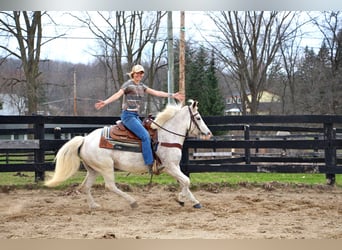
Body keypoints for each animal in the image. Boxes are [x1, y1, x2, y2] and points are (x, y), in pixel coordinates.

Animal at [44, 100, 211, 208]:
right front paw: (182, 199)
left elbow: (184, 182)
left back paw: (94, 205)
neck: (166, 136)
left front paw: (193, 201)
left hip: (93, 170)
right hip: (106, 167)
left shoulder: (174, 167)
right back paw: (132, 202)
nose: (208, 133)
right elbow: (186, 181)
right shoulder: (170, 166)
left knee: (85, 186)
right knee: (110, 186)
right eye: (198, 117)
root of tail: (85, 139)